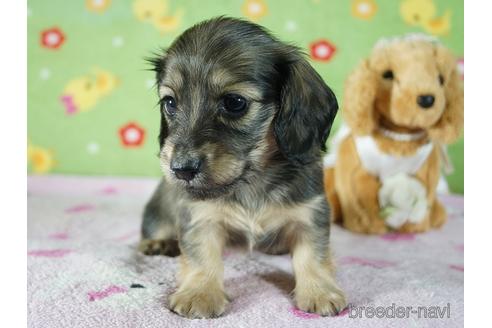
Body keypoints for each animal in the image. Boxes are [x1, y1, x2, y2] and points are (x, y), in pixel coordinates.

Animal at [138, 17, 346, 318]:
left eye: (234, 103)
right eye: (170, 102)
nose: (180, 169)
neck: (250, 181)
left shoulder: (311, 212)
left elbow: (313, 255)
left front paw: (319, 291)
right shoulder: (200, 216)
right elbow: (202, 257)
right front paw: (200, 293)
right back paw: (159, 242)